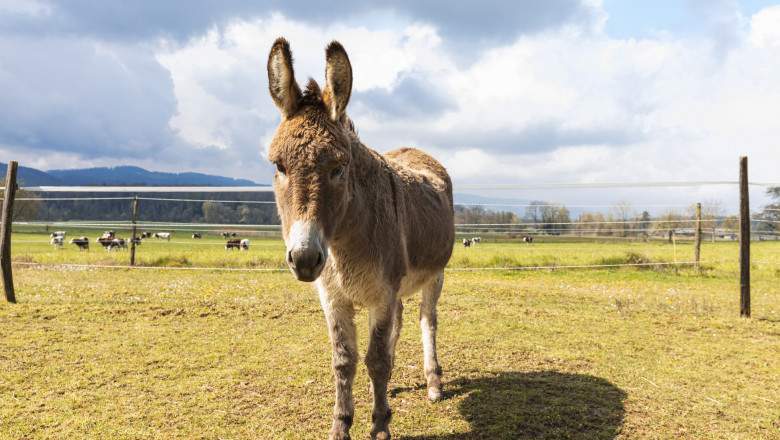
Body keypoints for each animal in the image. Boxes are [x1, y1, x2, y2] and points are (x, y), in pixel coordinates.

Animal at [266, 38, 454, 440]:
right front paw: (342, 425)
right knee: (399, 324)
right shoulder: (334, 297)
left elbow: (377, 359)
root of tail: (414, 149)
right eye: (279, 166)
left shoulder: (381, 293)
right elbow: (345, 361)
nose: (304, 259)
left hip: (435, 275)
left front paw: (380, 425)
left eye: (339, 168)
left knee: (426, 320)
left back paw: (433, 383)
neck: (342, 244)